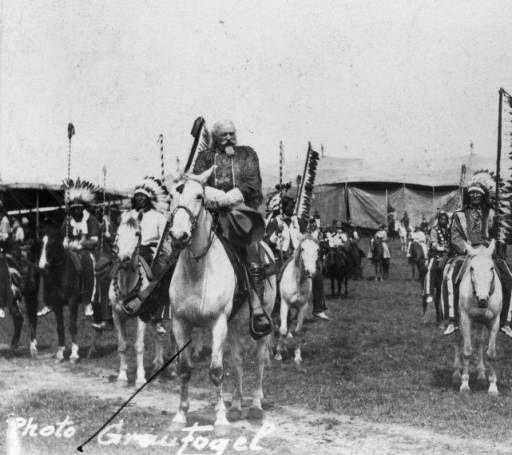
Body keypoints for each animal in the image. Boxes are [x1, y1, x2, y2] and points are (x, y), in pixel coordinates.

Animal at [40, 228, 82, 364]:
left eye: (52, 243)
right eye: (40, 243)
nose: (42, 267)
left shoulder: (73, 301)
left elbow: (72, 326)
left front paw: (74, 355)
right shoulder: (56, 303)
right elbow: (60, 327)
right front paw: (60, 354)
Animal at [109, 214, 170, 388]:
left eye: (137, 233)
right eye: (118, 233)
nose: (124, 259)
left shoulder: (141, 317)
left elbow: (139, 346)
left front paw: (140, 378)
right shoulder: (117, 315)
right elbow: (122, 345)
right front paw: (122, 376)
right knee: (158, 335)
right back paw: (157, 364)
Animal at [169, 169, 276, 432]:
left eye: (199, 196)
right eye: (172, 194)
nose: (178, 236)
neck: (197, 270)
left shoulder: (218, 323)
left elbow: (216, 370)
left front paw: (220, 419)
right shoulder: (180, 322)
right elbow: (184, 369)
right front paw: (180, 415)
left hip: (262, 322)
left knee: (259, 360)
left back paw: (255, 405)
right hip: (235, 325)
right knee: (238, 361)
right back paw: (236, 405)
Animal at [276, 235, 320, 366]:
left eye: (318, 249)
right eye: (303, 249)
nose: (311, 272)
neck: (297, 281)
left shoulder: (302, 307)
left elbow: (298, 331)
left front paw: (297, 356)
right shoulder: (284, 304)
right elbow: (283, 329)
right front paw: (278, 354)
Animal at [454, 242, 502, 396]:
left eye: (491, 267)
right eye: (472, 268)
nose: (483, 300)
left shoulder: (494, 321)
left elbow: (491, 353)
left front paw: (493, 387)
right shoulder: (466, 319)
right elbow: (467, 351)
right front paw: (464, 384)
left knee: (480, 341)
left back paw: (481, 374)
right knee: (458, 339)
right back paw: (456, 373)